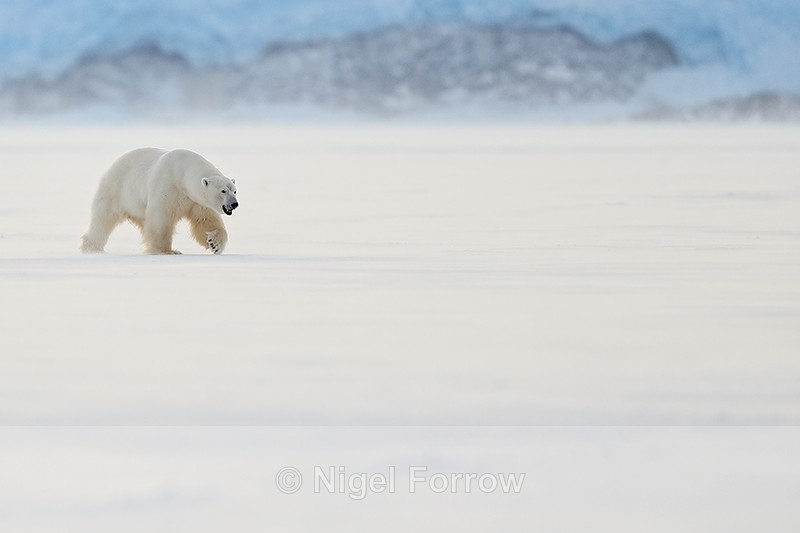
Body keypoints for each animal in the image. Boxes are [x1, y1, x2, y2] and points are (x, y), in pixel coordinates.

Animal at [81, 148, 239, 255]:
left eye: (234, 190)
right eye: (223, 191)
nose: (234, 204)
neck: (182, 173)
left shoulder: (196, 201)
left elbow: (205, 221)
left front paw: (214, 244)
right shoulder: (168, 185)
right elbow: (161, 219)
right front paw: (167, 251)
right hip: (116, 189)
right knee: (103, 219)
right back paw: (91, 247)